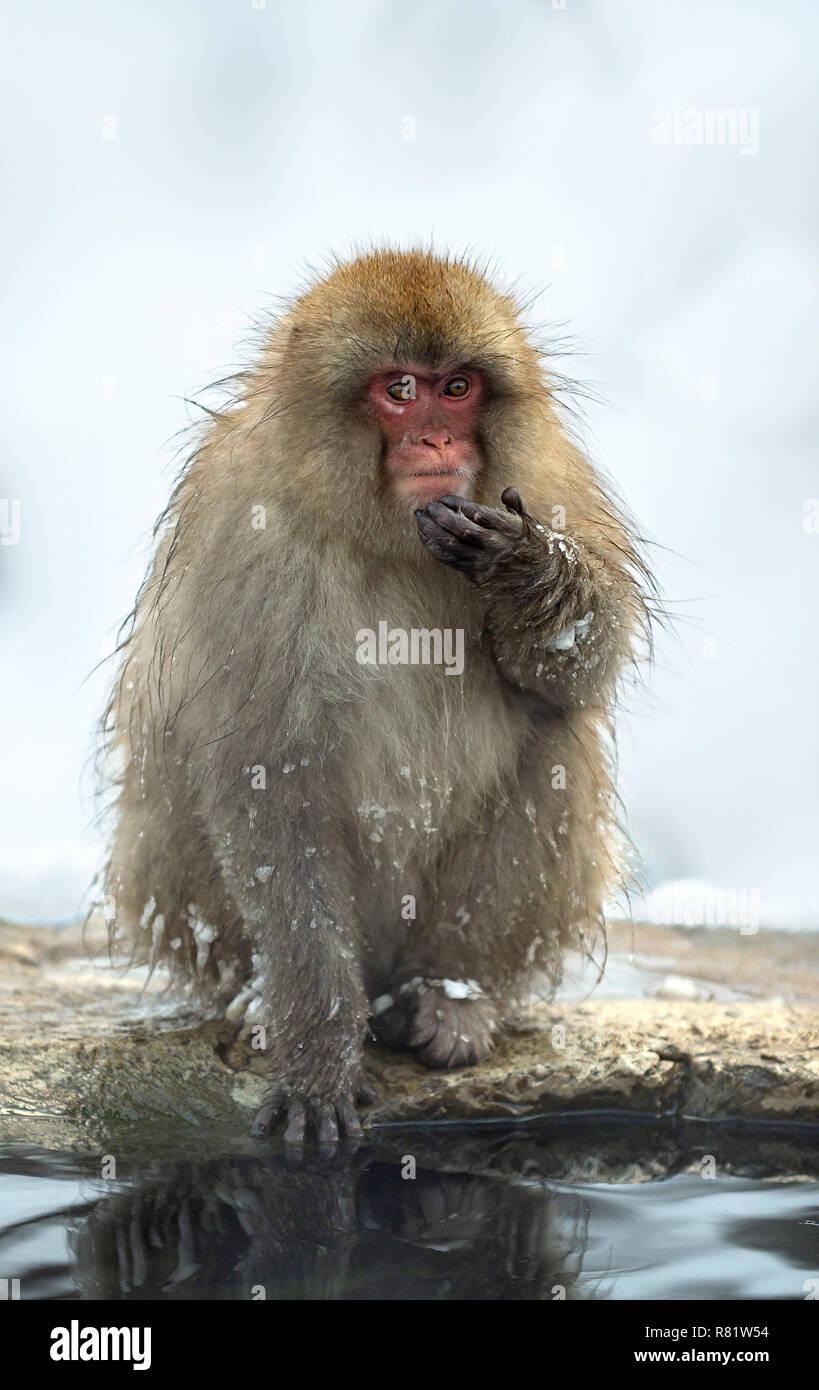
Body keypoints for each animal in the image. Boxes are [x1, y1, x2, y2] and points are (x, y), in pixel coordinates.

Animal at [98, 250, 653, 1150]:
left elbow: (578, 669)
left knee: (556, 739)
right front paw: (317, 1052)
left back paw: (452, 996)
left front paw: (525, 572)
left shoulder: (547, 481)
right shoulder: (242, 535)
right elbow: (265, 777)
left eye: (456, 387)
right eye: (399, 390)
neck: (390, 534)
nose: (435, 438)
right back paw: (258, 1001)